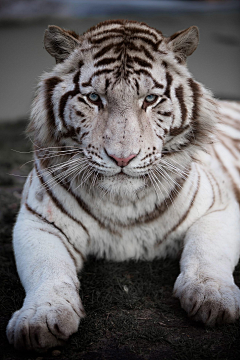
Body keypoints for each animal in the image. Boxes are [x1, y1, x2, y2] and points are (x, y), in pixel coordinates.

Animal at [6, 19, 240, 352]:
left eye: (150, 99)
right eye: (94, 99)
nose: (122, 157)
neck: (123, 203)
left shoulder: (218, 206)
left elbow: (206, 253)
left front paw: (212, 297)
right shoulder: (38, 220)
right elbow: (46, 269)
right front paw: (40, 318)